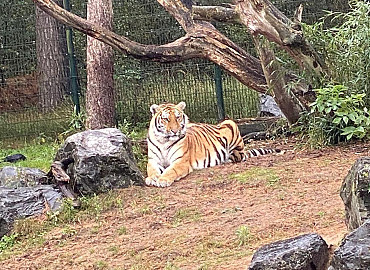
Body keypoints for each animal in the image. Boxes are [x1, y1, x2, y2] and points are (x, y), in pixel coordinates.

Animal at [146, 102, 278, 188]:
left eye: (178, 117)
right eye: (166, 119)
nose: (175, 131)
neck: (164, 141)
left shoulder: (181, 161)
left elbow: (171, 170)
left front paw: (163, 180)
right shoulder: (153, 160)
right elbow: (151, 170)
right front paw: (152, 178)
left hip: (230, 124)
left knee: (237, 156)